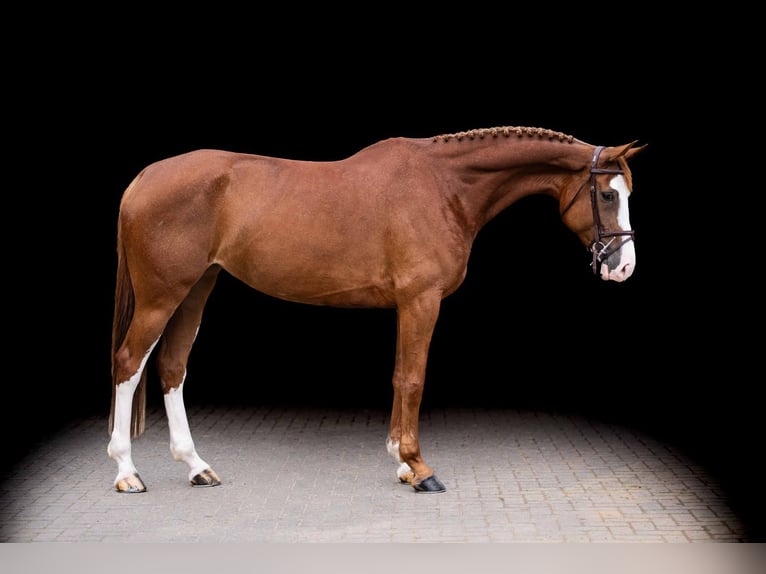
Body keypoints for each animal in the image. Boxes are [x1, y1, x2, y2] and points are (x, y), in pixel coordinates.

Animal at [108, 125, 646, 494]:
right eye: (606, 194)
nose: (623, 267)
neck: (444, 185)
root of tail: (144, 177)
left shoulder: (409, 305)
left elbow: (399, 376)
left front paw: (401, 463)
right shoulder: (421, 300)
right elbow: (412, 379)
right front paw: (419, 467)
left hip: (196, 288)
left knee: (172, 367)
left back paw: (196, 466)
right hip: (161, 296)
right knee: (129, 363)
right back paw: (127, 471)